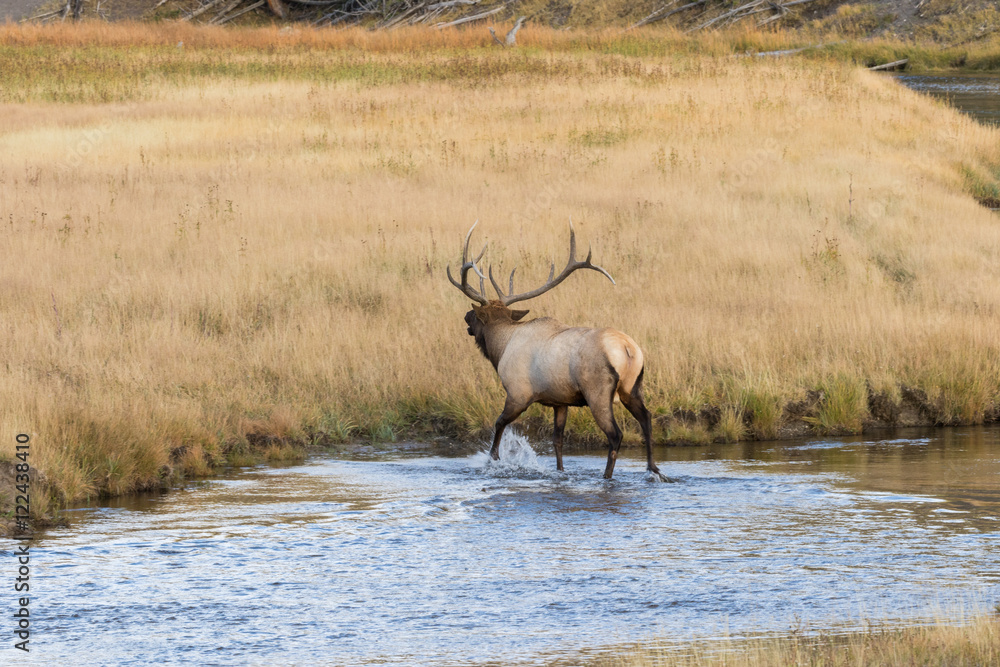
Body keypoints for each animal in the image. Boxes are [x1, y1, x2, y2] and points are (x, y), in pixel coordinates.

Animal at [447, 222, 668, 481]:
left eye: (475, 313)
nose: (465, 316)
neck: (500, 349)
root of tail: (627, 349)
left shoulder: (518, 393)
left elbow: (499, 424)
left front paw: (493, 460)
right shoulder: (560, 401)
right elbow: (557, 440)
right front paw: (561, 471)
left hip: (597, 390)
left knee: (615, 434)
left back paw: (607, 476)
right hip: (632, 387)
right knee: (647, 419)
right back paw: (654, 469)